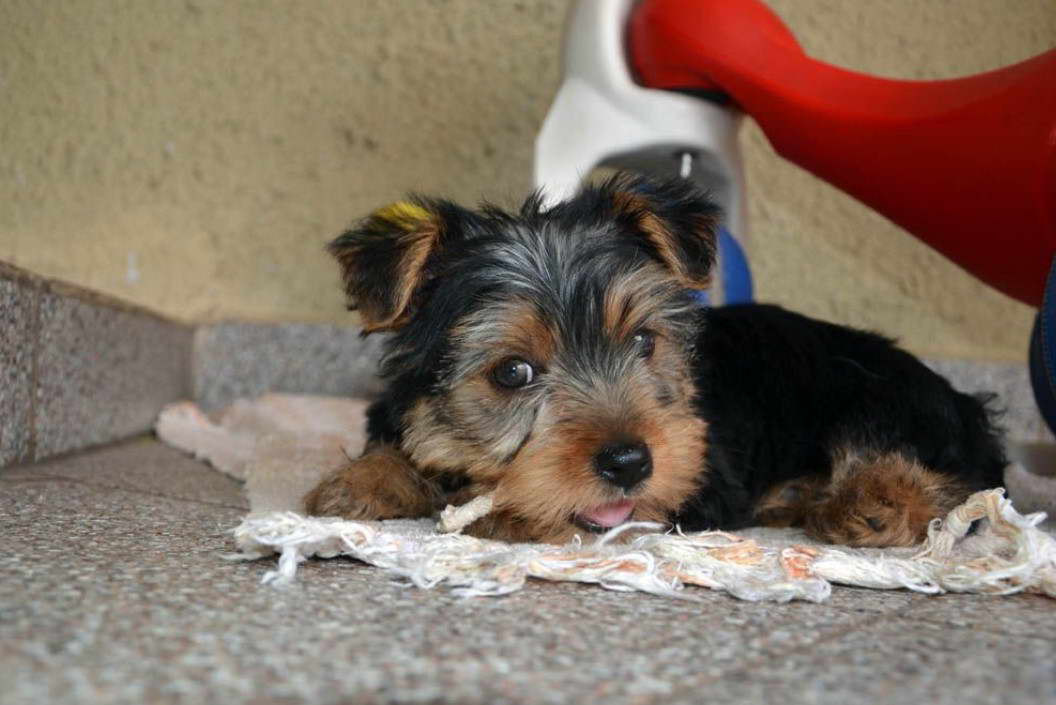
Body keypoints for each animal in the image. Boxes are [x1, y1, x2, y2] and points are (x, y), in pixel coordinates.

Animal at [306, 175, 1005, 544]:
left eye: (643, 342)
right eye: (513, 372)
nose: (628, 462)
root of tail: (964, 404)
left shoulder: (699, 479)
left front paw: (502, 507)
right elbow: (398, 444)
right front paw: (363, 481)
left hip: (878, 402)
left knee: (945, 482)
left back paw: (868, 503)